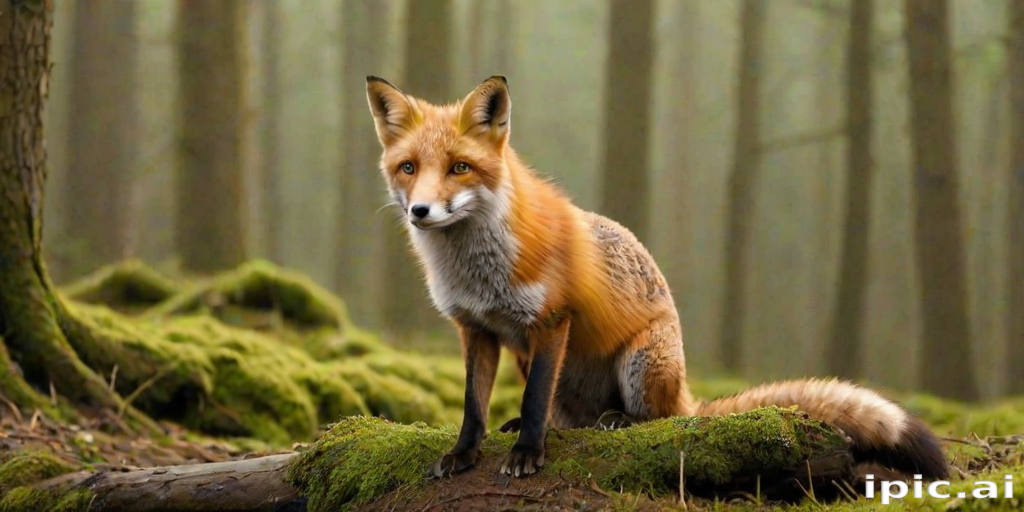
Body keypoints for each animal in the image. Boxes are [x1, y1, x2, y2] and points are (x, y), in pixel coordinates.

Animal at [364, 75, 948, 481]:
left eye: (459, 168)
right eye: (409, 168)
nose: (420, 212)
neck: (477, 271)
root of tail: (686, 392)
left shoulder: (551, 320)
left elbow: (531, 404)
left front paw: (527, 452)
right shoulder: (477, 330)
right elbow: (472, 408)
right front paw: (463, 454)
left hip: (641, 365)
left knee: (658, 420)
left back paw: (620, 421)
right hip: (537, 361)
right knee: (570, 417)